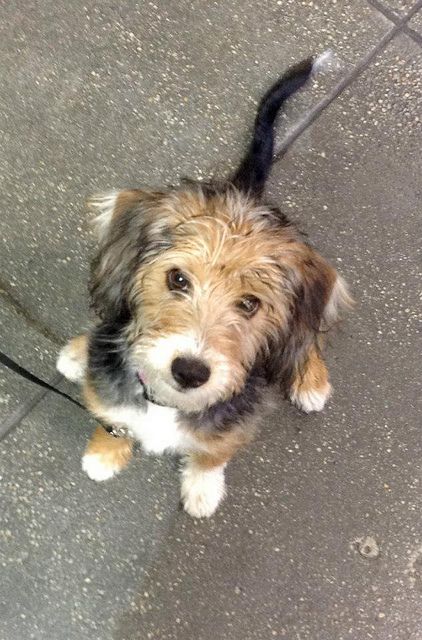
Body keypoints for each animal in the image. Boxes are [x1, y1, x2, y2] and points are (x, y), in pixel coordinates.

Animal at [57, 56, 352, 520]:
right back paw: (75, 352)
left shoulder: (234, 426)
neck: (165, 402)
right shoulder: (111, 400)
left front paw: (202, 486)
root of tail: (244, 194)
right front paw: (105, 453)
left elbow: (214, 452)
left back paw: (310, 381)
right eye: (177, 279)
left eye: (250, 304)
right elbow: (112, 420)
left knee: (305, 338)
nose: (190, 372)